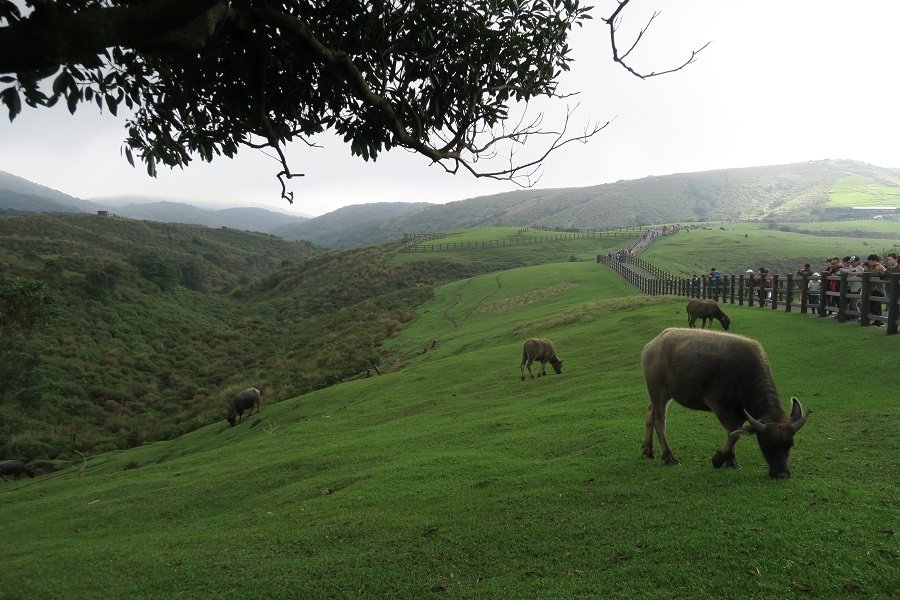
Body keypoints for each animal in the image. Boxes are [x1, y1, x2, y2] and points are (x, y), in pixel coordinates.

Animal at [640, 328, 808, 478]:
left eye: (790, 445)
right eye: (766, 443)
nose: (782, 474)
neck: (745, 374)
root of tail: (651, 346)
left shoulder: (740, 411)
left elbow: (735, 432)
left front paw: (731, 461)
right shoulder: (717, 404)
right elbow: (733, 431)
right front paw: (718, 459)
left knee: (650, 413)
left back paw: (647, 450)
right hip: (658, 391)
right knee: (660, 421)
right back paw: (668, 457)